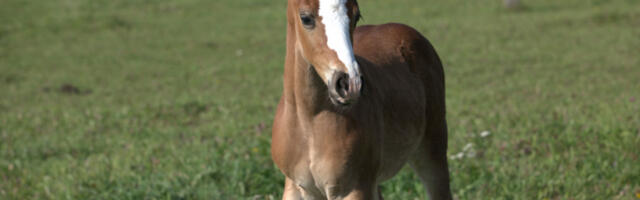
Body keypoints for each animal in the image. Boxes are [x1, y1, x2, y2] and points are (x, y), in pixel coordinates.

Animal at [272, 0, 452, 199]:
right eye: (305, 18)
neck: (309, 123)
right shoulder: (295, 187)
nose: (350, 84)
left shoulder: (355, 188)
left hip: (432, 151)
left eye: (357, 16)